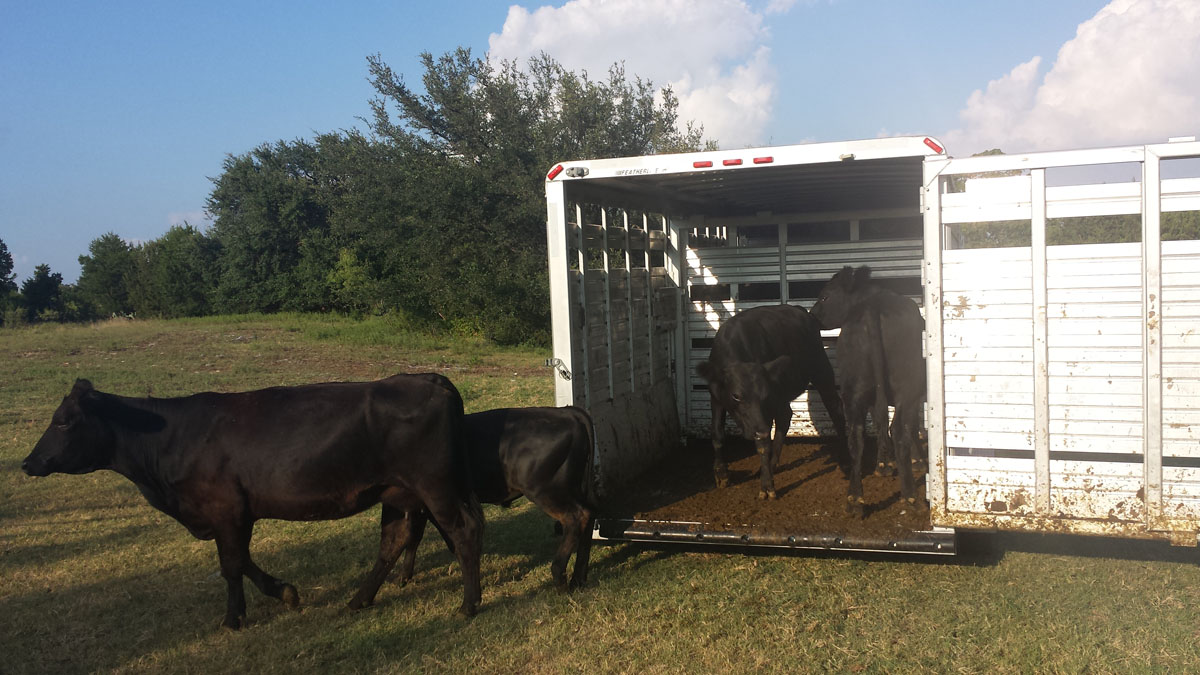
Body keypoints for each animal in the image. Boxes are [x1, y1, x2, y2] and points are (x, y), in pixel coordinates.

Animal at [19, 374, 482, 629]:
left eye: (64, 421)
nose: (27, 462)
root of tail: (428, 378)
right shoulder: (235, 514)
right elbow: (241, 561)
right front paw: (285, 594)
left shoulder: (225, 509)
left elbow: (231, 565)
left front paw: (235, 617)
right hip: (399, 492)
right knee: (395, 539)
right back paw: (358, 600)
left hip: (435, 486)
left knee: (463, 531)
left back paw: (468, 605)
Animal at [398, 403, 595, 588]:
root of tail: (566, 412)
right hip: (577, 488)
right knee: (589, 517)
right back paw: (578, 579)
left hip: (546, 491)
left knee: (577, 516)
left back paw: (558, 574)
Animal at [691, 302, 849, 497]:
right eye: (736, 395)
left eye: (764, 395)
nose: (760, 431)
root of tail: (801, 310)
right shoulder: (716, 398)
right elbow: (717, 434)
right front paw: (721, 474)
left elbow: (763, 444)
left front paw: (766, 485)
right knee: (785, 416)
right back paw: (772, 464)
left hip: (821, 370)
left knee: (835, 408)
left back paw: (845, 458)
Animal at [806, 264, 926, 514]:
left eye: (825, 296)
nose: (812, 316)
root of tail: (873, 307)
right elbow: (911, 427)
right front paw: (917, 461)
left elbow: (879, 424)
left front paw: (883, 464)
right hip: (906, 389)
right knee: (899, 429)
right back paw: (911, 497)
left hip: (853, 390)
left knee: (856, 436)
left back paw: (854, 499)